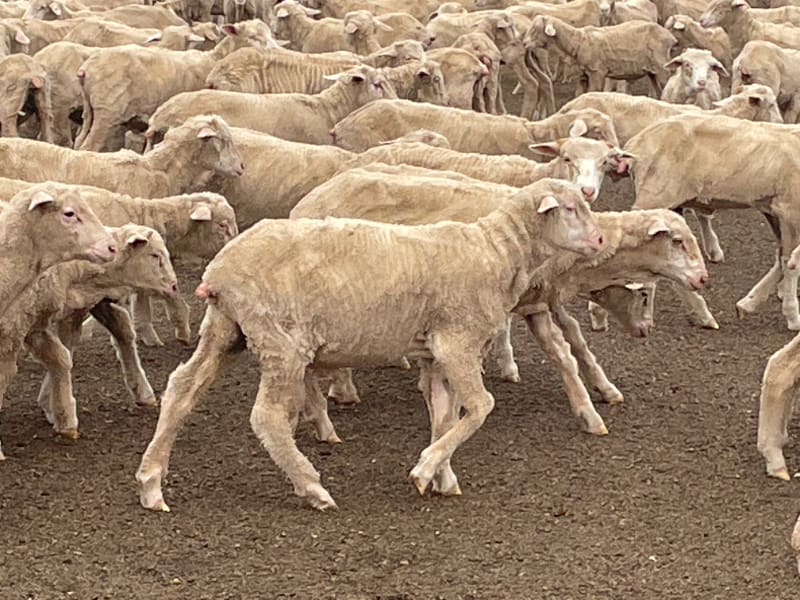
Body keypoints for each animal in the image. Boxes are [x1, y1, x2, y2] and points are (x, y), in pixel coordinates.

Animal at [73, 19, 274, 151]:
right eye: (253, 36)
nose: (276, 50)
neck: (213, 60)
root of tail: (86, 69)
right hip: (107, 112)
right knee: (89, 145)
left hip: (90, 110)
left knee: (78, 140)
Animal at [134, 177, 604, 512]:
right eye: (570, 208)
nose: (600, 241)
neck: (497, 251)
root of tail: (219, 270)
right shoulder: (457, 342)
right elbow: (480, 407)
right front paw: (425, 470)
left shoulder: (437, 354)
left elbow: (444, 416)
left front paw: (440, 476)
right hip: (280, 341)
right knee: (267, 417)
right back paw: (312, 487)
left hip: (226, 330)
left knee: (181, 389)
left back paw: (151, 482)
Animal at [526, 16, 676, 96]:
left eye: (535, 29)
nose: (524, 43)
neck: (577, 41)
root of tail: (670, 37)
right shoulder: (583, 75)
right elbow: (579, 95)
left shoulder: (596, 72)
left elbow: (594, 92)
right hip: (653, 70)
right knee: (659, 90)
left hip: (662, 67)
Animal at [625, 114, 800, 330]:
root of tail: (637, 143)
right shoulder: (790, 210)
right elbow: (790, 263)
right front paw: (793, 317)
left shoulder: (775, 212)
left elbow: (782, 259)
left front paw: (747, 304)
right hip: (653, 197)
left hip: (671, 207)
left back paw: (699, 315)